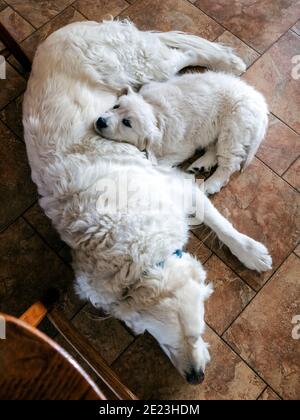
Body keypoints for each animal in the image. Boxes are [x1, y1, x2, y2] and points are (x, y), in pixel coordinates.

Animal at [96, 72, 270, 195]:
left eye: (127, 123)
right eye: (116, 106)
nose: (100, 121)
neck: (156, 113)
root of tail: (262, 107)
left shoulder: (182, 148)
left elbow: (161, 162)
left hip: (234, 129)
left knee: (230, 162)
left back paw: (211, 184)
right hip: (218, 129)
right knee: (215, 148)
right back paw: (201, 165)